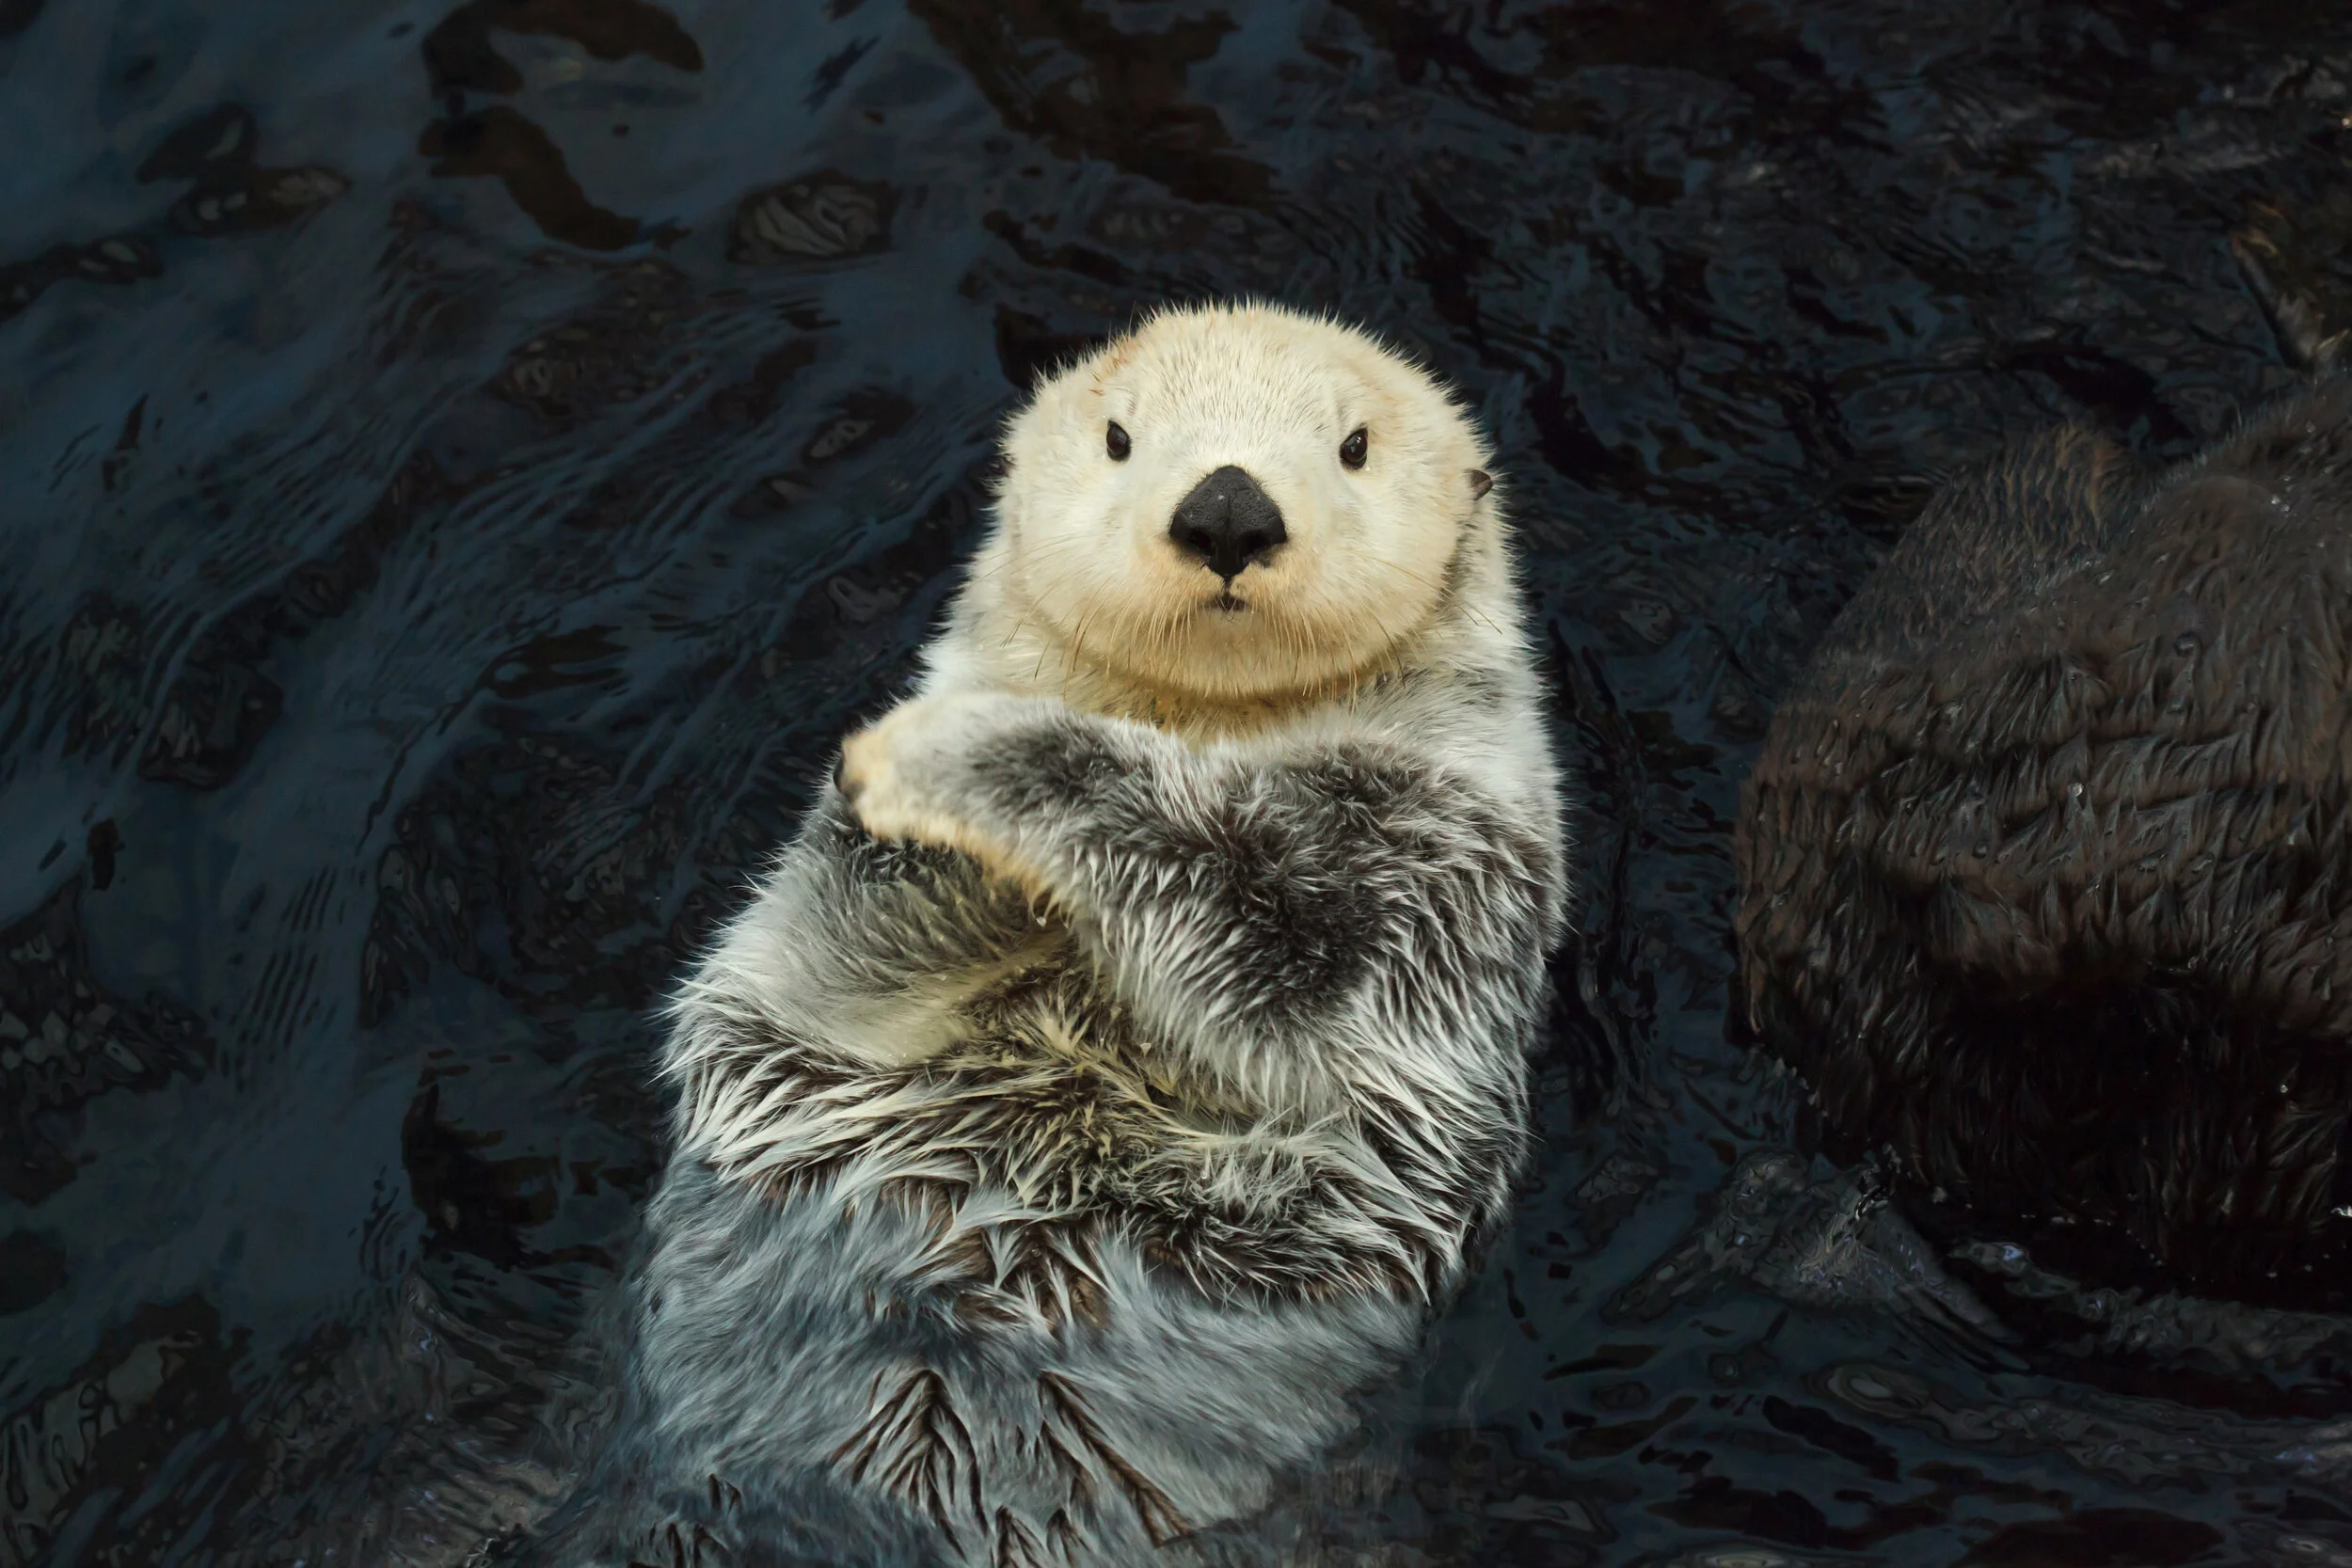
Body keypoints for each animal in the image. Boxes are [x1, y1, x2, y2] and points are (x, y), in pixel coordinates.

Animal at [518, 302, 1568, 1565]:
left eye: (1354, 445)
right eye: (1119, 437)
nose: (1227, 508)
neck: (1207, 724)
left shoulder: (1437, 872)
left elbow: (1278, 946)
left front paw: (959, 753)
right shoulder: (814, 967)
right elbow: (834, 950)